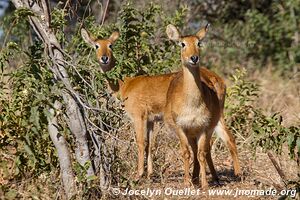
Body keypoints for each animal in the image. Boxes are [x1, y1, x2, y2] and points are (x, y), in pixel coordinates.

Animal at [80, 27, 241, 182]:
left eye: (110, 45)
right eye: (96, 45)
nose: (104, 58)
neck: (124, 84)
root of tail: (216, 80)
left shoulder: (139, 117)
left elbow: (141, 143)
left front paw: (139, 175)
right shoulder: (151, 120)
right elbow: (150, 144)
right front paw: (150, 174)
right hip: (216, 116)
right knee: (226, 138)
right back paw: (220, 177)